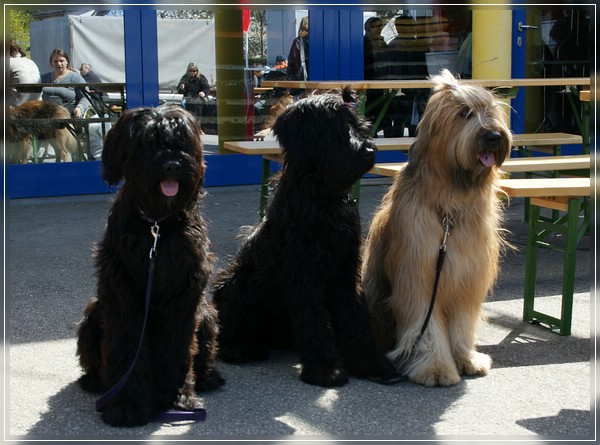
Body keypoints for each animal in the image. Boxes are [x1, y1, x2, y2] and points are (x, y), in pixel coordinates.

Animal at [76, 104, 224, 426]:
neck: (156, 225)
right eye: (146, 143)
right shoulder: (123, 293)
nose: (172, 165)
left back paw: (208, 377)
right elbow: (126, 344)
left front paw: (177, 397)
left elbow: (177, 348)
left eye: (181, 141)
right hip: (94, 312)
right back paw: (94, 381)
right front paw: (127, 405)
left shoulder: (184, 297)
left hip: (206, 314)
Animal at [211, 86, 398, 386]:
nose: (368, 151)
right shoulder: (303, 272)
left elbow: (355, 318)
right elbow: (312, 320)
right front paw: (325, 369)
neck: (323, 197)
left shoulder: (346, 269)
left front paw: (372, 365)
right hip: (235, 282)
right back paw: (241, 348)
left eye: (358, 125)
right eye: (333, 130)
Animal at [360, 68, 510, 386]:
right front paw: (436, 367)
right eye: (465, 113)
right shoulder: (419, 275)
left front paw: (466, 358)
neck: (449, 209)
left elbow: (462, 323)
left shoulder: (467, 276)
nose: (493, 136)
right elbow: (425, 325)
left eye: (491, 110)